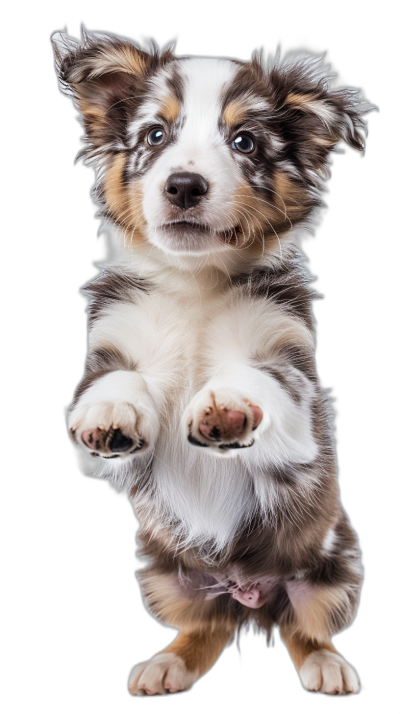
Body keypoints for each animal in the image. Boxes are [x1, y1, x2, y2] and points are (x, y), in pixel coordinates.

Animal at [50, 29, 376, 696]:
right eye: (155, 135)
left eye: (244, 141)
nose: (183, 185)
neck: (194, 280)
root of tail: (250, 597)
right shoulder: (109, 341)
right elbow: (114, 379)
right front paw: (112, 412)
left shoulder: (295, 376)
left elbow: (257, 378)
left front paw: (225, 403)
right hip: (163, 577)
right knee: (204, 627)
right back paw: (168, 664)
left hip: (338, 575)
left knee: (305, 628)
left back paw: (327, 666)